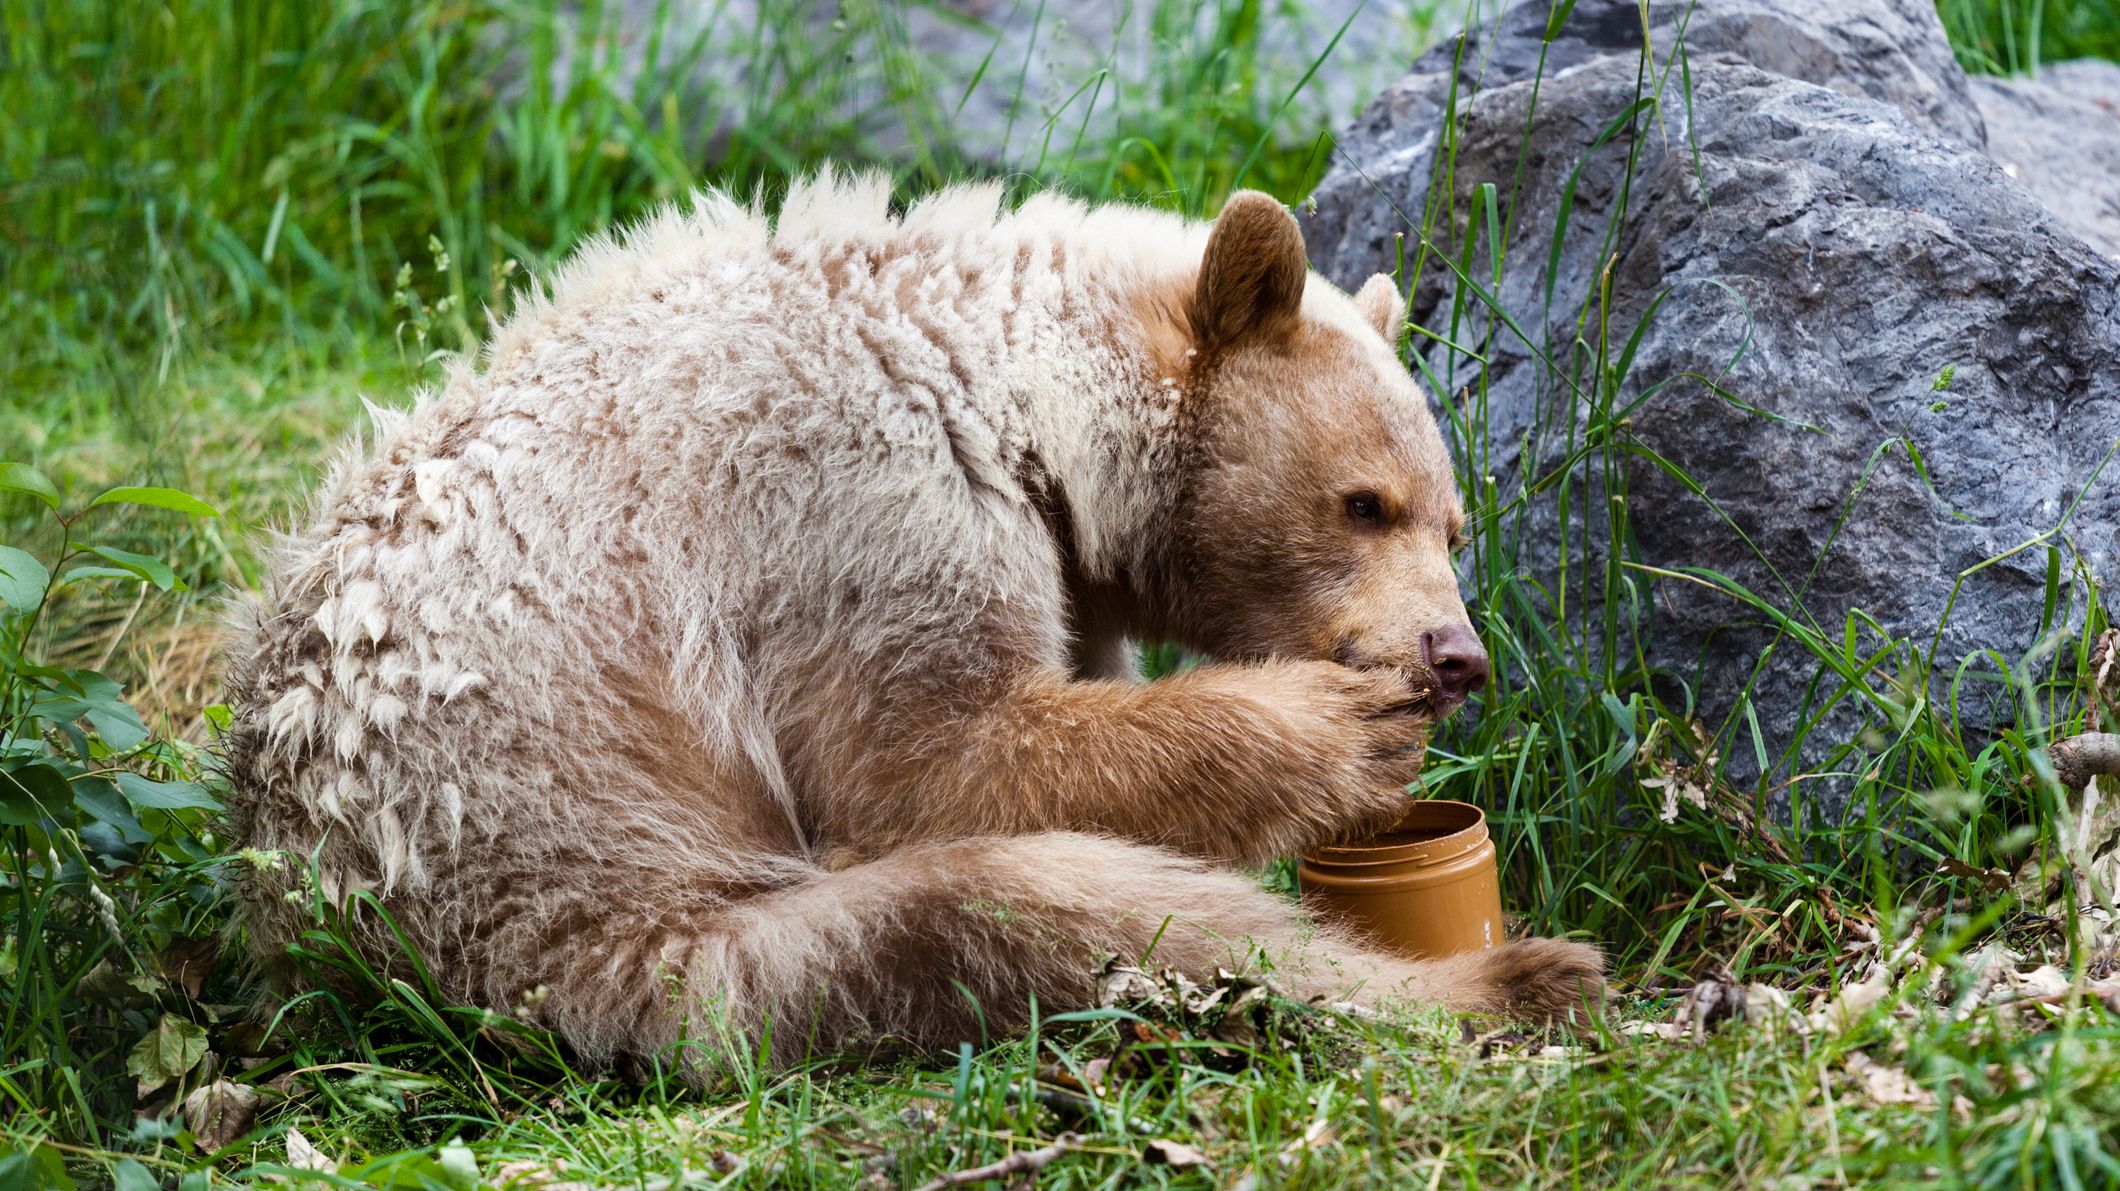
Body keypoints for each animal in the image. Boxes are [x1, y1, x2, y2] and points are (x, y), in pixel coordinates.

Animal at [222, 172, 1603, 1069]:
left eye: (1454, 526)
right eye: (1362, 502)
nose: (1452, 655)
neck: (1010, 390)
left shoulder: (1053, 571)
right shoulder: (857, 502)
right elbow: (935, 758)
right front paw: (1340, 729)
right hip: (618, 910)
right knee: (1033, 912)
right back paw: (1507, 980)